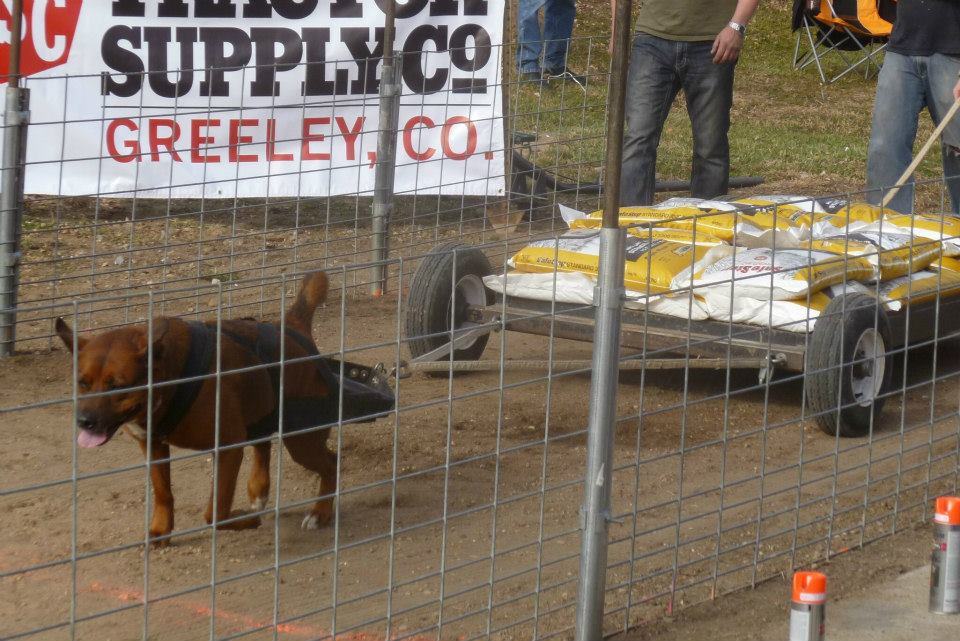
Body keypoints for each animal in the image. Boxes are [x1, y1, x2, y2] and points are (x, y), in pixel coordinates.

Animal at [54, 272, 346, 544]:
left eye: (117, 386)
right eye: (82, 383)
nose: (84, 421)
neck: (171, 379)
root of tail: (292, 327)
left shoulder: (228, 447)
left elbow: (215, 513)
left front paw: (248, 521)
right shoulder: (153, 446)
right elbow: (163, 493)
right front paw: (161, 530)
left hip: (301, 440)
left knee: (331, 463)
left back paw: (320, 512)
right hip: (260, 413)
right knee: (264, 444)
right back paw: (259, 492)